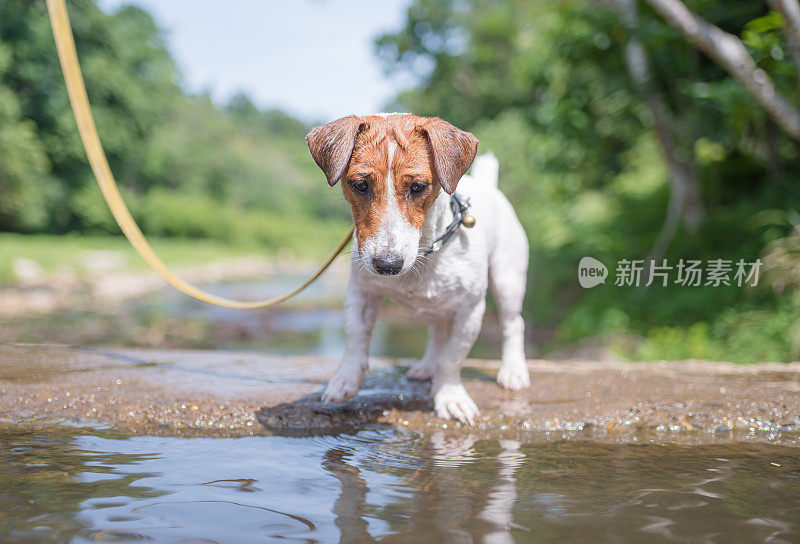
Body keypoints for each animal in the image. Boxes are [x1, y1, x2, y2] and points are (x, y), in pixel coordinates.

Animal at [308, 112, 532, 422]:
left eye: (417, 187)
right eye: (360, 185)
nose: (387, 265)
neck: (426, 250)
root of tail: (488, 185)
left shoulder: (471, 310)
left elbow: (453, 357)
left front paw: (450, 396)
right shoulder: (361, 292)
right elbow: (355, 337)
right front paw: (346, 379)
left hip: (507, 279)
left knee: (513, 324)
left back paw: (513, 371)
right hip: (438, 305)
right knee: (437, 332)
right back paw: (427, 366)